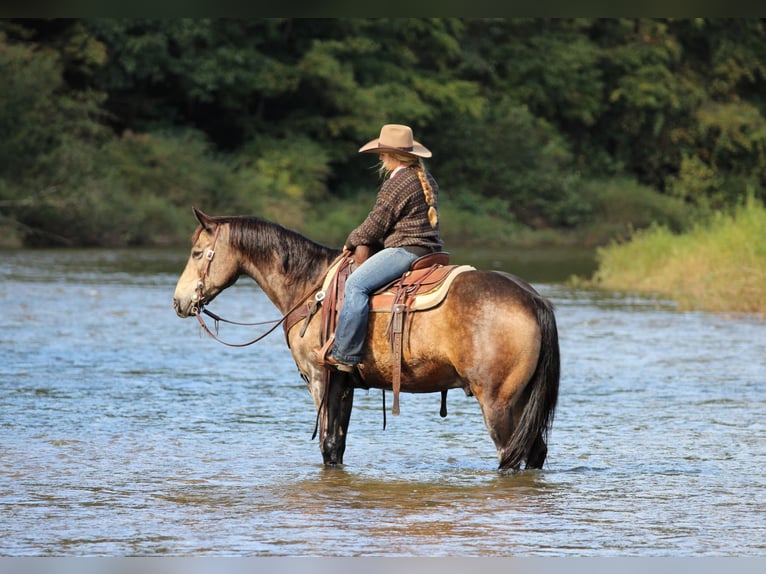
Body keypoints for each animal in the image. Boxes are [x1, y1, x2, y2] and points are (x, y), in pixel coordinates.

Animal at [173, 208, 560, 472]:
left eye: (196, 253)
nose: (179, 301)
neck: (311, 286)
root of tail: (532, 298)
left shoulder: (321, 378)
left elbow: (327, 445)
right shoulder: (344, 385)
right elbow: (337, 447)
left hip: (497, 402)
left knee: (509, 455)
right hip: (522, 399)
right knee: (534, 453)